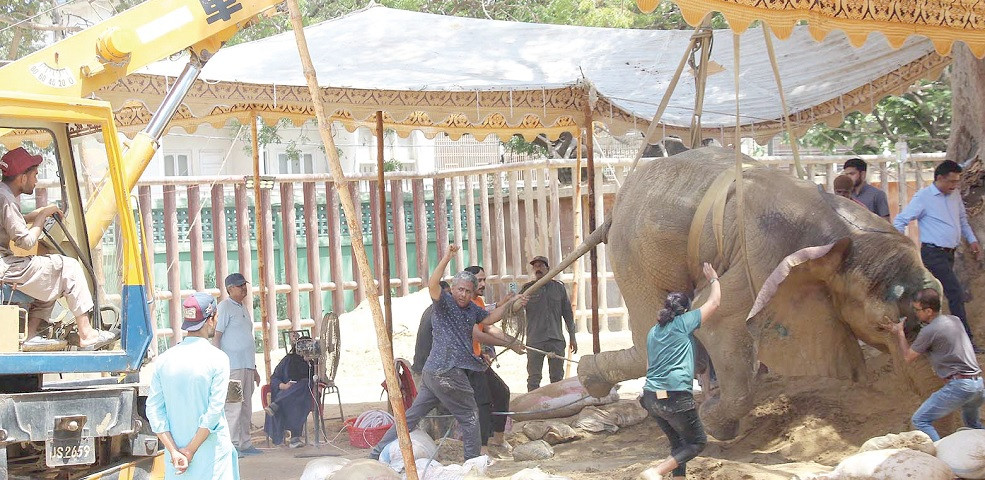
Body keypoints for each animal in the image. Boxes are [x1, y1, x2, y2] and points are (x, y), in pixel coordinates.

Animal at [576, 147, 936, 442]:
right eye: (880, 326)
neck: (846, 233)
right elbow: (718, 321)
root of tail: (617, 204)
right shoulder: (762, 262)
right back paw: (592, 380)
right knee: (654, 337)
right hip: (634, 250)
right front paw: (714, 424)